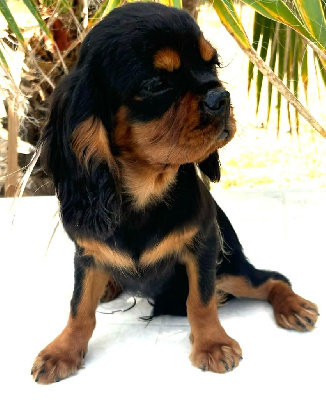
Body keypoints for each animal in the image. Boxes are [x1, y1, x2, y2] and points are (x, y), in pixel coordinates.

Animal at [32, 3, 318, 384]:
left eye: (212, 65)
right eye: (156, 84)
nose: (220, 97)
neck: (146, 189)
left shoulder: (204, 246)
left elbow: (201, 299)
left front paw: (212, 343)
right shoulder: (88, 254)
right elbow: (80, 307)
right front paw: (63, 350)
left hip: (230, 270)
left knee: (272, 280)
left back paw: (293, 306)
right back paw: (109, 286)